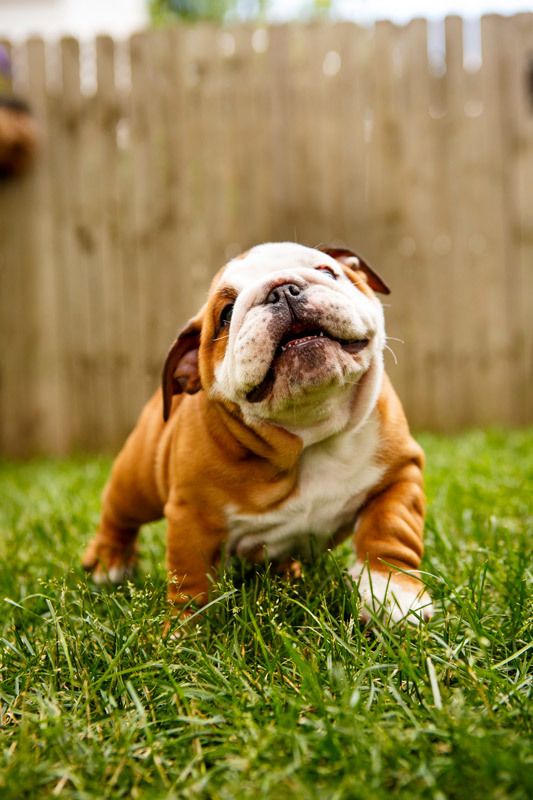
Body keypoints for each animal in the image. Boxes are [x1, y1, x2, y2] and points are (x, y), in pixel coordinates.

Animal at [82, 244, 432, 624]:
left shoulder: (399, 474)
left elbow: (391, 530)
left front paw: (394, 595)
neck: (308, 435)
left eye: (327, 272)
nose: (283, 290)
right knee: (118, 513)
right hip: (138, 478)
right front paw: (184, 630)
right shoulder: (192, 516)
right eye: (226, 314)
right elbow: (190, 579)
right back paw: (108, 564)